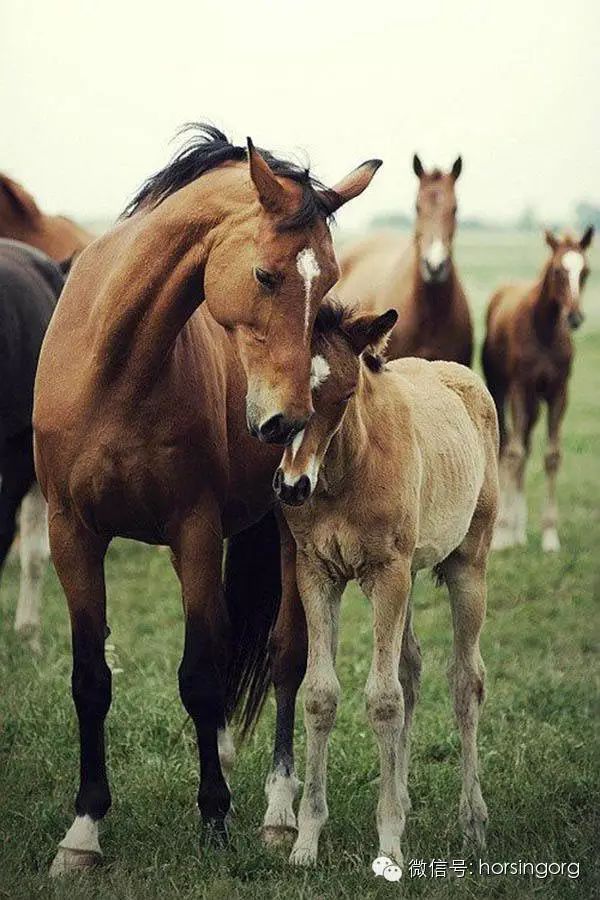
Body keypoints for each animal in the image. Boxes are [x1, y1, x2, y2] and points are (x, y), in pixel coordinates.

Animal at [32, 125, 380, 872]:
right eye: (265, 276)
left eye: (328, 283)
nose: (286, 422)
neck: (117, 367)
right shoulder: (70, 534)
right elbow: (90, 679)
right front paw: (83, 831)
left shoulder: (193, 532)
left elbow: (199, 674)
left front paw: (214, 816)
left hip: (284, 535)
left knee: (284, 659)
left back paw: (278, 812)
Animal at [270, 300, 496, 864]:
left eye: (345, 395)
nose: (292, 486)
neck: (344, 471)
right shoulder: (316, 574)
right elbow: (321, 694)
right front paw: (306, 840)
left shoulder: (386, 575)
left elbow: (383, 700)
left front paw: (389, 843)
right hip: (412, 572)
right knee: (411, 668)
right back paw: (406, 794)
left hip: (468, 565)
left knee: (466, 680)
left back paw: (473, 820)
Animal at [482, 225, 596, 552]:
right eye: (558, 270)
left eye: (585, 271)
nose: (575, 317)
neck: (543, 329)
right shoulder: (521, 388)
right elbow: (514, 452)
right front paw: (503, 533)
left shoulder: (558, 392)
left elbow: (551, 455)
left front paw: (549, 535)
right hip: (502, 391)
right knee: (509, 446)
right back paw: (509, 528)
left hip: (535, 402)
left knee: (528, 444)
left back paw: (520, 530)